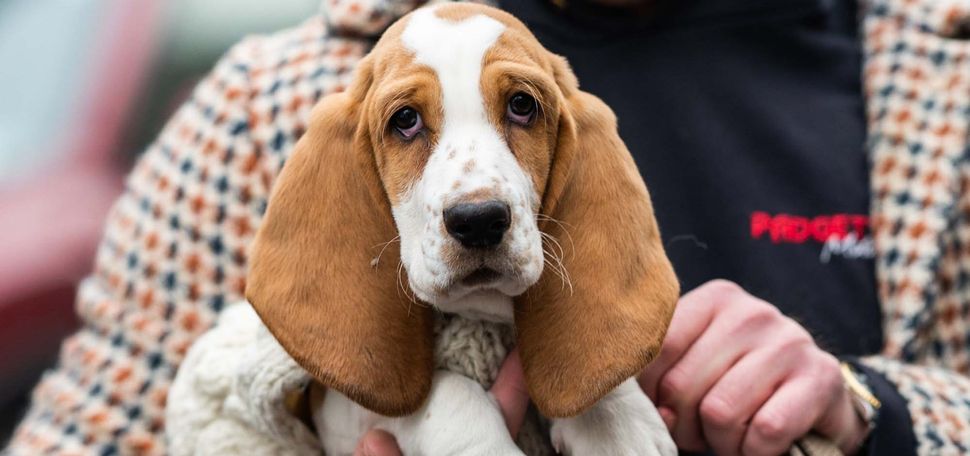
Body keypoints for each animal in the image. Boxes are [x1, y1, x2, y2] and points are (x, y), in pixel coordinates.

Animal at [246, 2, 676, 452]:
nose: (479, 220)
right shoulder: (342, 416)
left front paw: (617, 423)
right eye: (405, 119)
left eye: (522, 104)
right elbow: (444, 393)